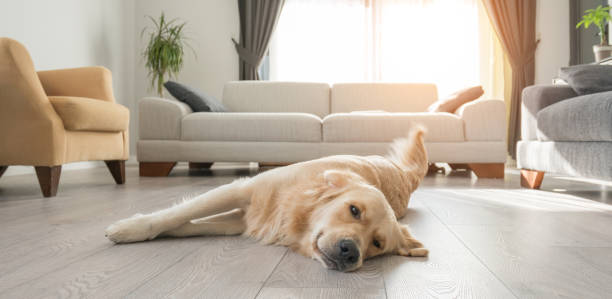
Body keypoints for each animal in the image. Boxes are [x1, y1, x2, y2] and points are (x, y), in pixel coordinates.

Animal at [105, 127, 428, 274]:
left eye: (377, 244)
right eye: (354, 210)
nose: (351, 253)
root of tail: (403, 174)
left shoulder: (239, 221)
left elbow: (189, 224)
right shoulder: (242, 191)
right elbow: (177, 215)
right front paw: (130, 229)